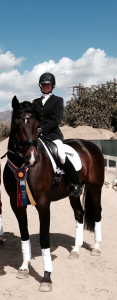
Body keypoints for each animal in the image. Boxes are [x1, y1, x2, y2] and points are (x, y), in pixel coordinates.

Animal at [3, 96, 104, 292]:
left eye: (37, 125)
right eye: (16, 124)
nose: (31, 158)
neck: (22, 167)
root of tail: (90, 145)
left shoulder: (43, 204)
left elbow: (44, 239)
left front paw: (46, 278)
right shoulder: (16, 204)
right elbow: (24, 235)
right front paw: (24, 268)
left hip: (95, 187)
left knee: (96, 213)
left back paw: (96, 248)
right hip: (74, 193)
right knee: (79, 214)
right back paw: (76, 250)